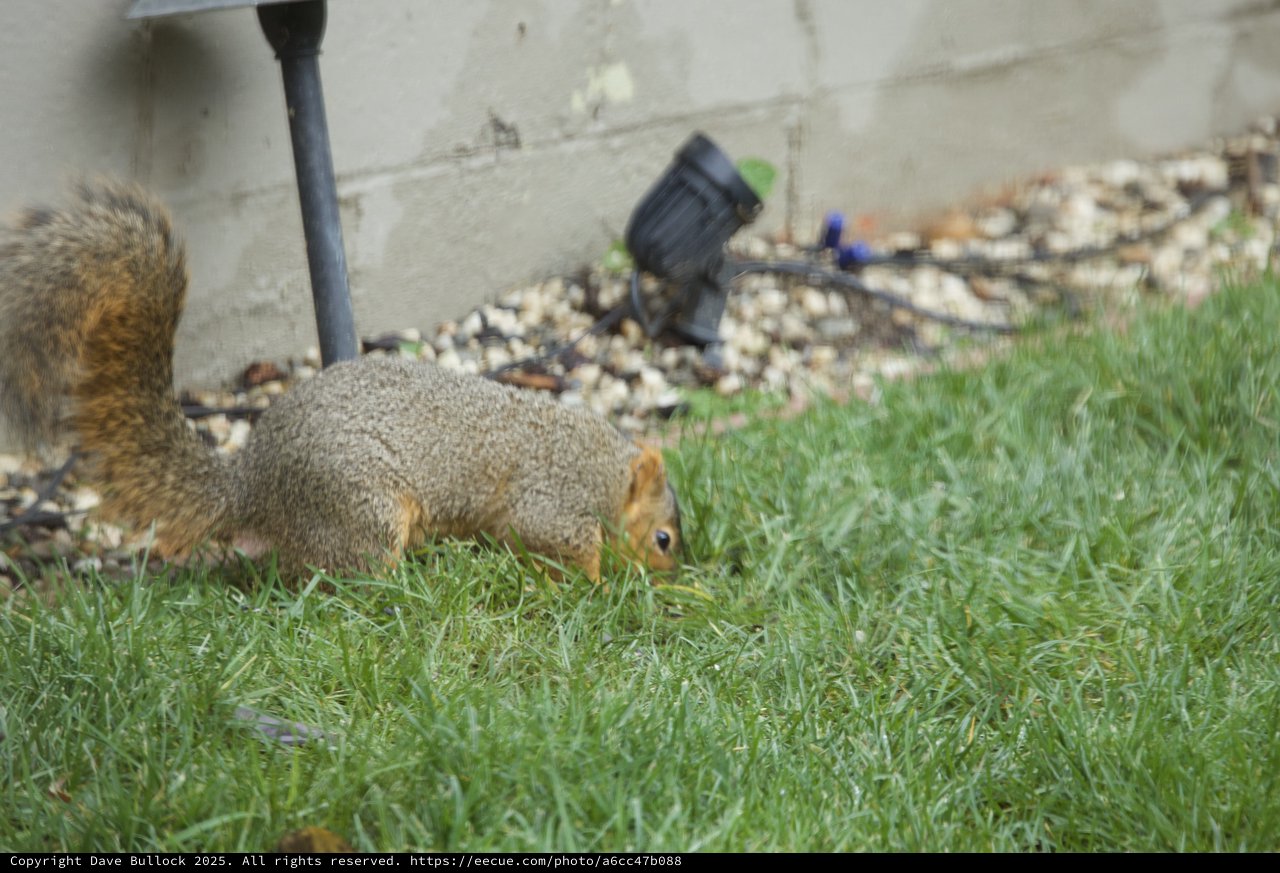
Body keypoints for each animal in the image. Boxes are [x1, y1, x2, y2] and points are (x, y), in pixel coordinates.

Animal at [0, 180, 682, 582]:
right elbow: (560, 544)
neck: (603, 468)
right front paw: (599, 587)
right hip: (362, 509)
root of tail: (253, 488)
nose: (670, 579)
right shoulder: (552, 504)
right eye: (665, 539)